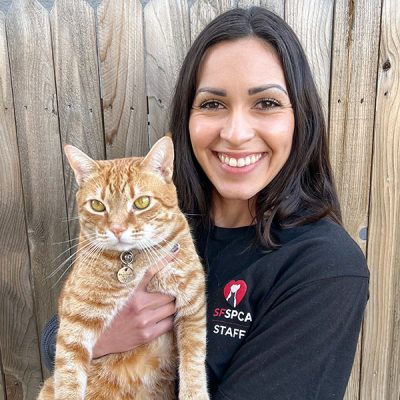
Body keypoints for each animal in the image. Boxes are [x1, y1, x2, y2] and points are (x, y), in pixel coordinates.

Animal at [38, 136, 209, 398]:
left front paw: (195, 392)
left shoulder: (192, 304)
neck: (132, 258)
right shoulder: (75, 322)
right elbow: (68, 376)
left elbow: (193, 360)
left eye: (142, 202)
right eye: (98, 206)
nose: (117, 229)